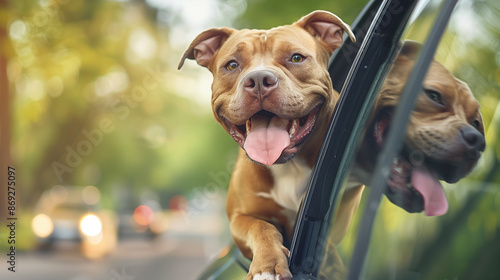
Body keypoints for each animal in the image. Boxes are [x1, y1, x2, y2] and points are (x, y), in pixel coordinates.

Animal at [180, 10, 356, 278]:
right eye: (232, 65)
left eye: (296, 58)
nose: (259, 79)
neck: (288, 166)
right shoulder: (239, 218)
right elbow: (261, 226)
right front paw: (268, 263)